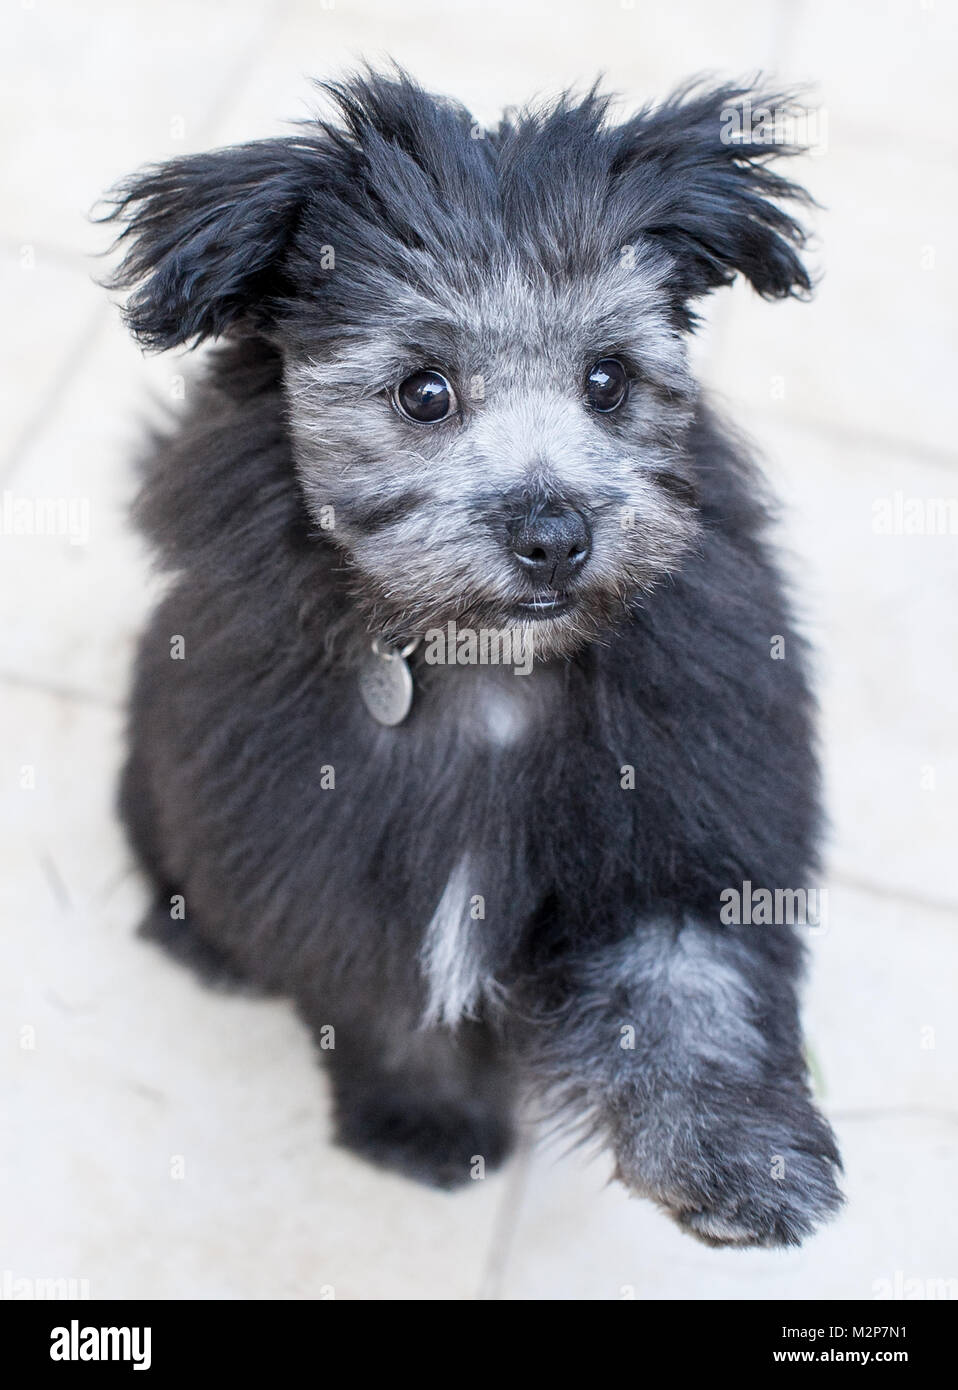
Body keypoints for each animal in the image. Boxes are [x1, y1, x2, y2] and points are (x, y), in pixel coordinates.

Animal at [102, 67, 845, 1251]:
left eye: (608, 379)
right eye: (424, 391)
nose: (554, 534)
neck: (491, 664)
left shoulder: (683, 808)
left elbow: (695, 986)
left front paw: (740, 1157)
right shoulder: (335, 855)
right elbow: (386, 1003)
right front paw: (425, 1125)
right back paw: (203, 945)